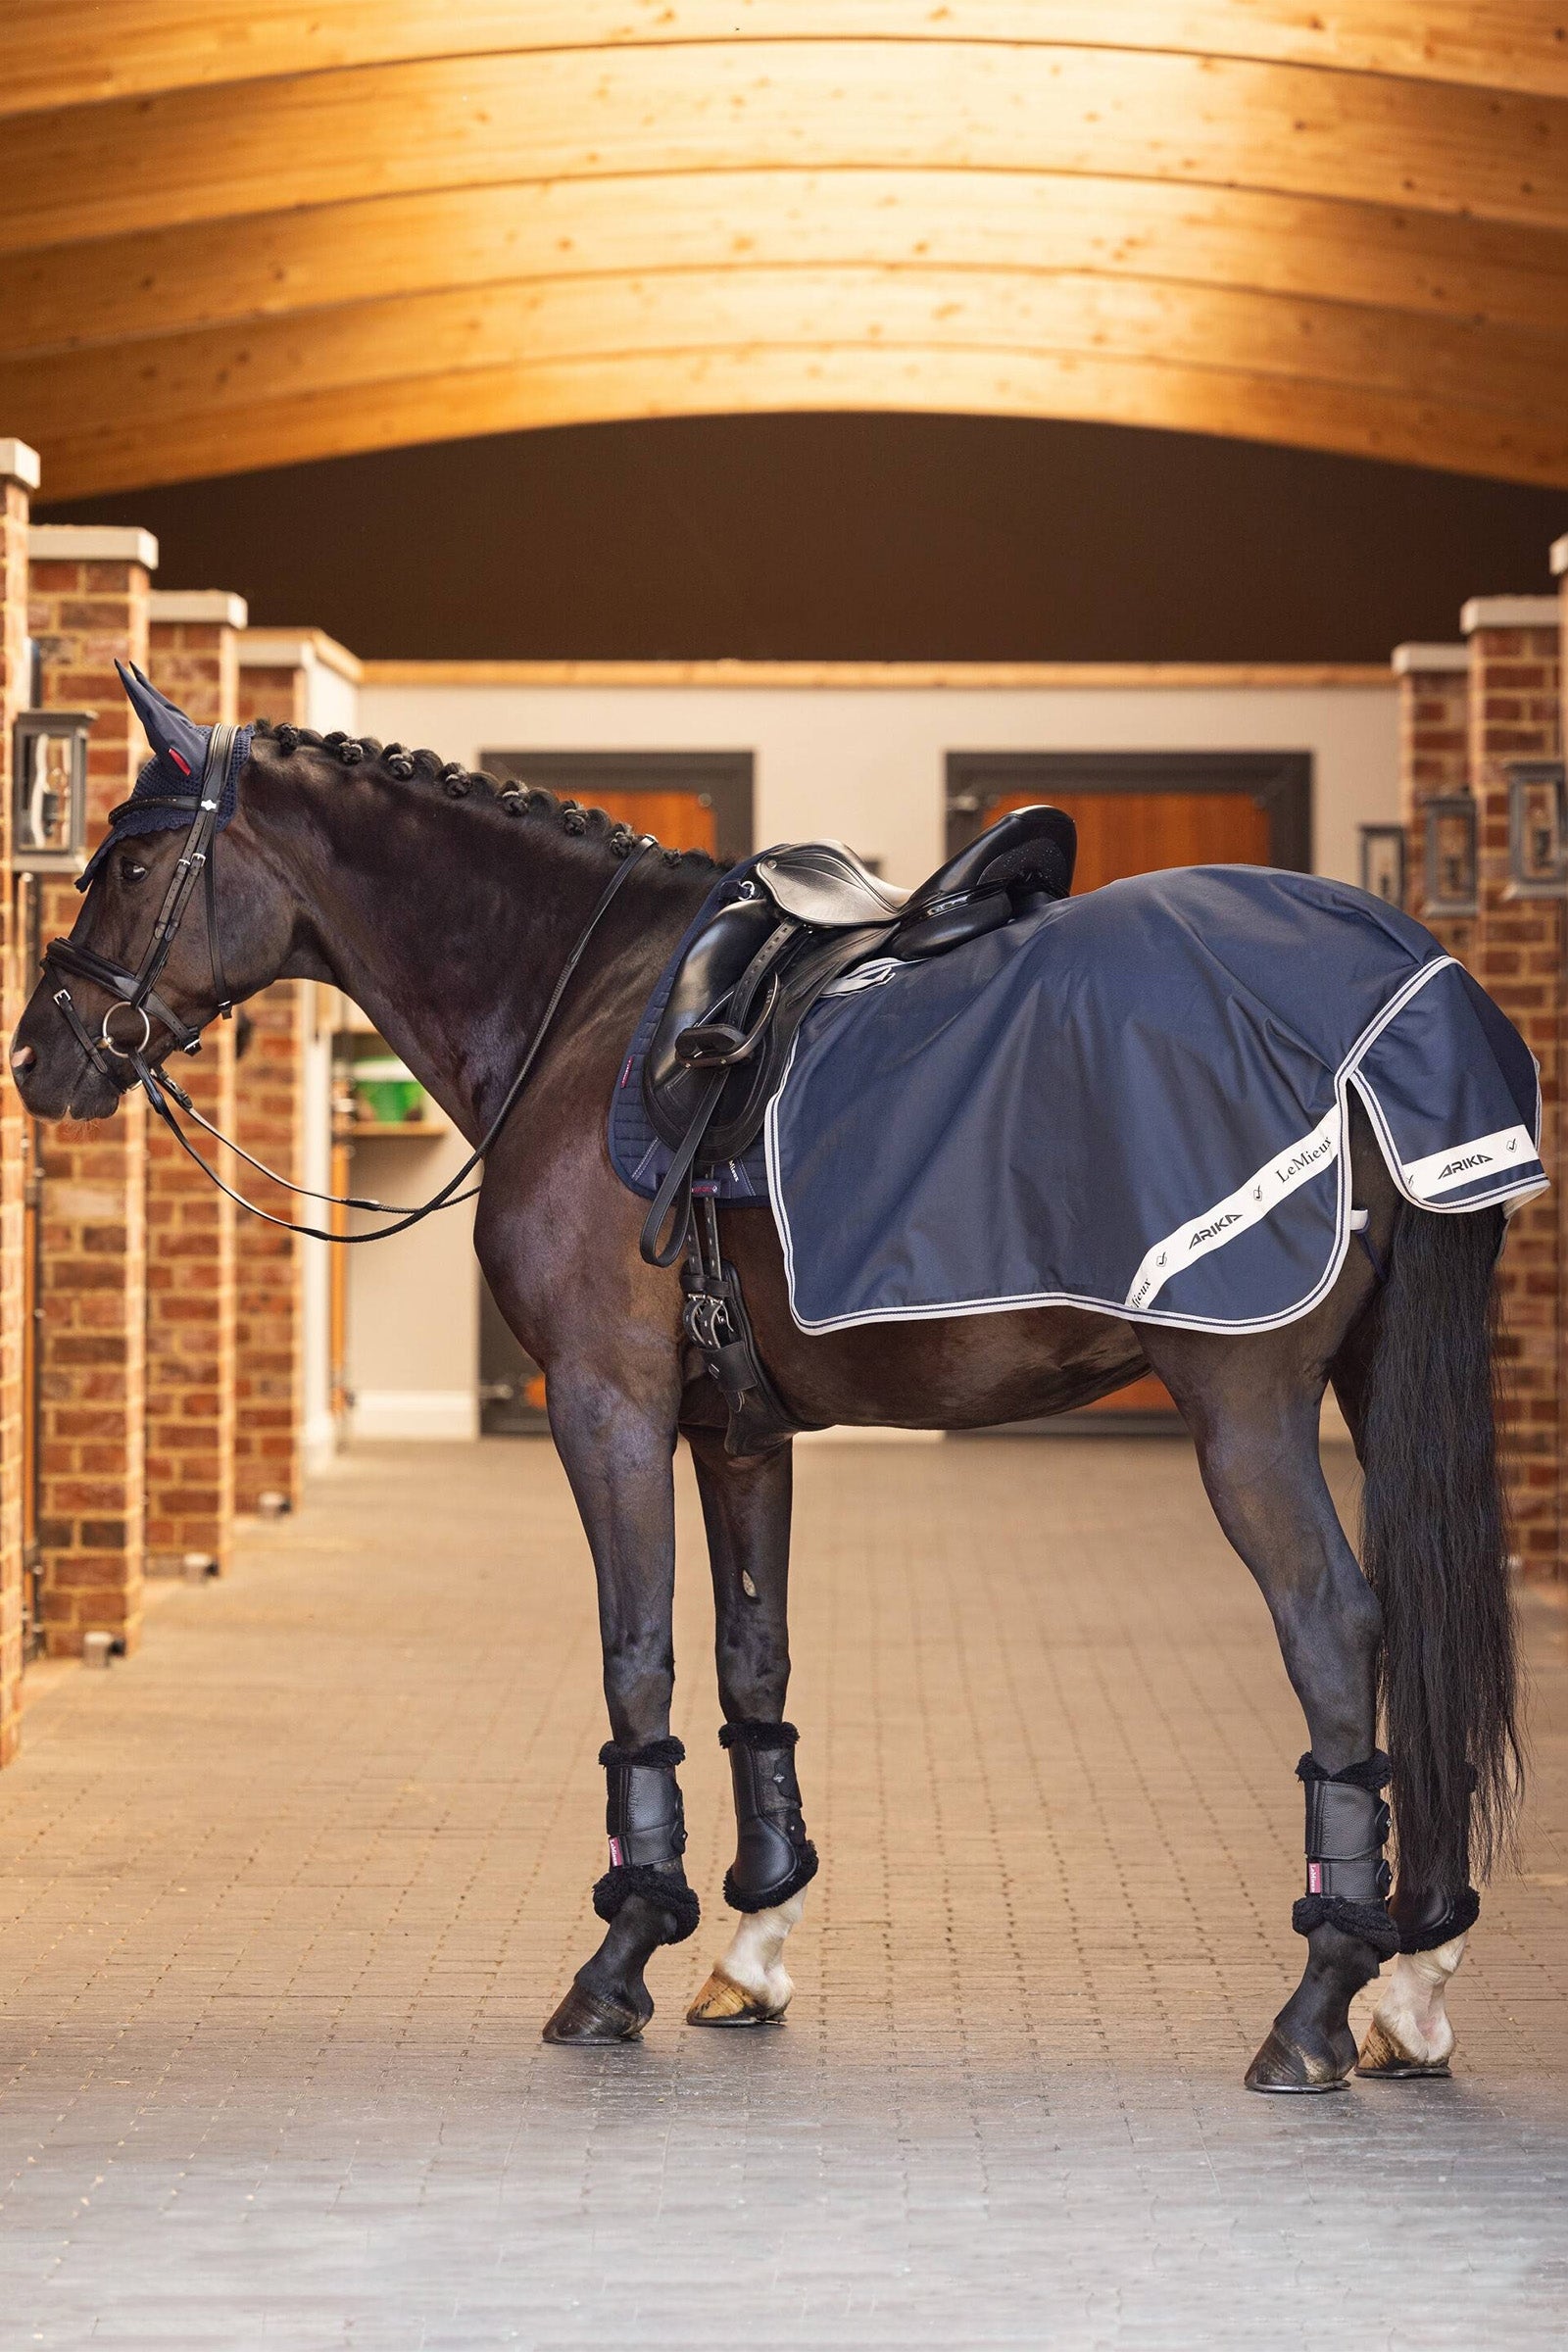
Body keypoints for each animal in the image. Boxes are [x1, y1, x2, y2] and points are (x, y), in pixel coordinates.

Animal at [11, 692, 1523, 2096]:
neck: (588, 1006)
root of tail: (1404, 993)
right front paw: (751, 1945)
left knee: (1336, 1628)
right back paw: (1414, 1980)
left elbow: (638, 1657)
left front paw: (624, 1952)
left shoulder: (606, 1405)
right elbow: (755, 1662)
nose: (41, 1055)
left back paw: (1318, 2003)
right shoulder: (740, 1432)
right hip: (1378, 1388)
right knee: (1424, 1614)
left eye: (129, 863)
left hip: (1244, 1403)